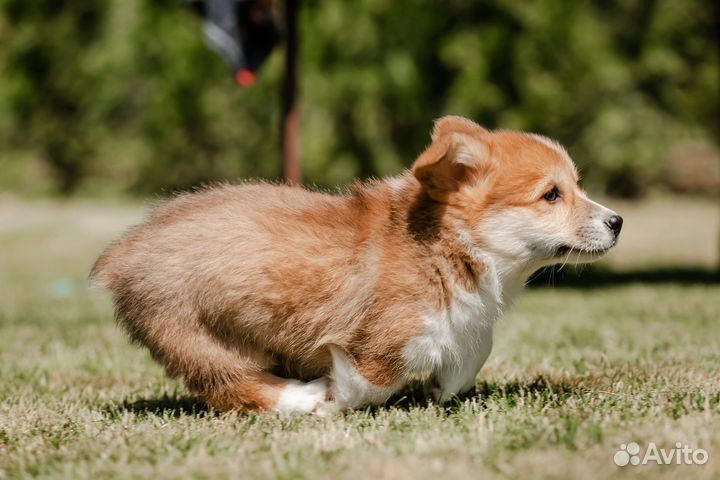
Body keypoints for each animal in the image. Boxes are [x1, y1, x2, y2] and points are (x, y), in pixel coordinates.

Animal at [91, 115, 620, 412]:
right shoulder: (385, 335)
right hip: (197, 335)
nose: (617, 221)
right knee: (231, 388)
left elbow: (475, 348)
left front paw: (442, 386)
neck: (451, 248)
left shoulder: (465, 319)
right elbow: (374, 381)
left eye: (576, 186)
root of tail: (123, 251)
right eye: (551, 195)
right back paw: (299, 398)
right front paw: (332, 399)